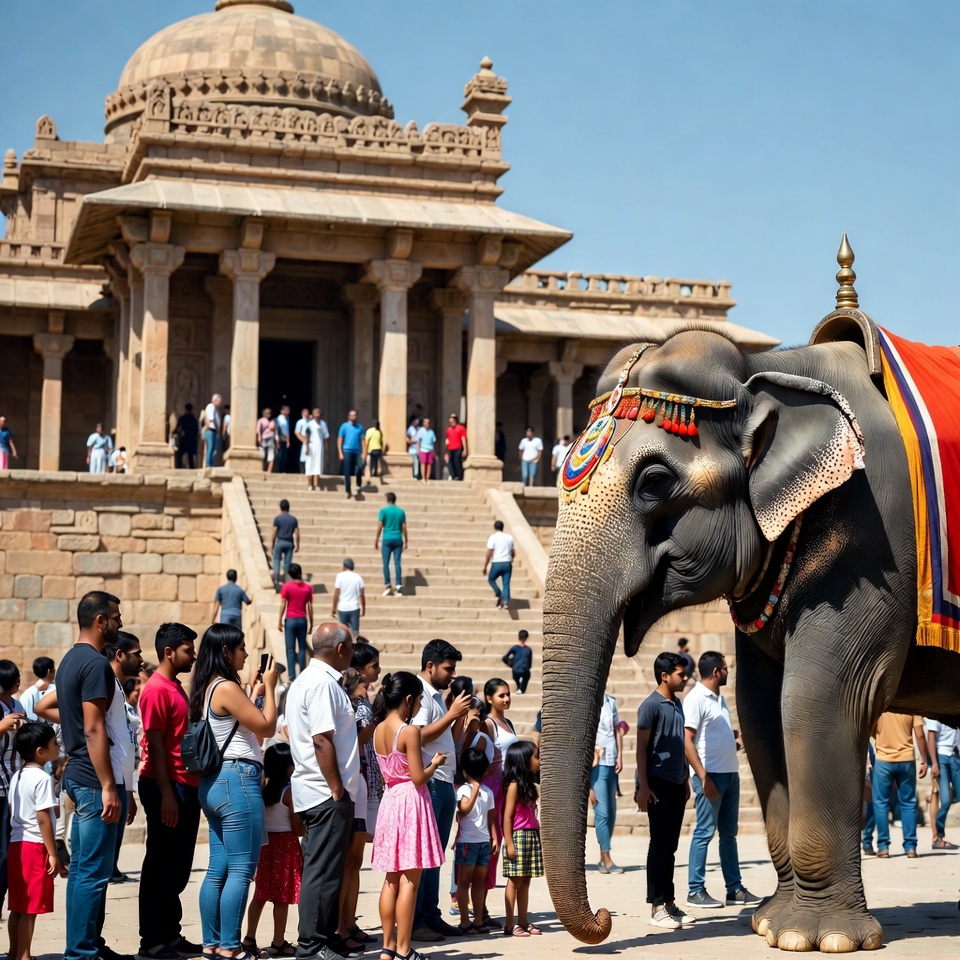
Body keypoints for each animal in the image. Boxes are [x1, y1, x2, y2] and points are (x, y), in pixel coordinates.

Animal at [540, 311, 960, 953]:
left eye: (654, 482)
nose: (606, 920)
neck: (771, 371)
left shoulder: (876, 537)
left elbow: (817, 700)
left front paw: (818, 938)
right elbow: (759, 709)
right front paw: (770, 923)